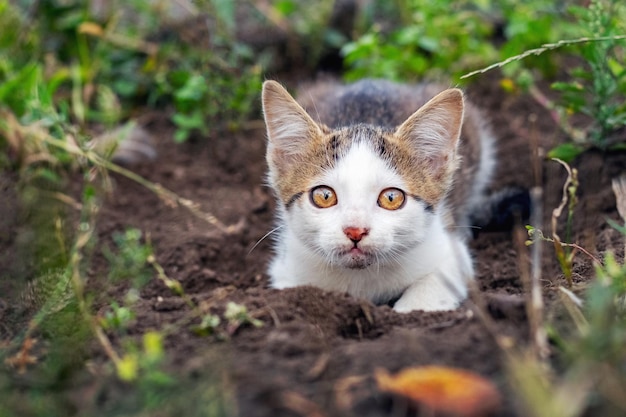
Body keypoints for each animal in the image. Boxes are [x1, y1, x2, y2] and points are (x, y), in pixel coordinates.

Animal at [258, 79, 492, 312]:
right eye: (324, 196)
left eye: (391, 198)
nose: (355, 231)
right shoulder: (287, 270)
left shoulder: (451, 253)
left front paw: (410, 308)